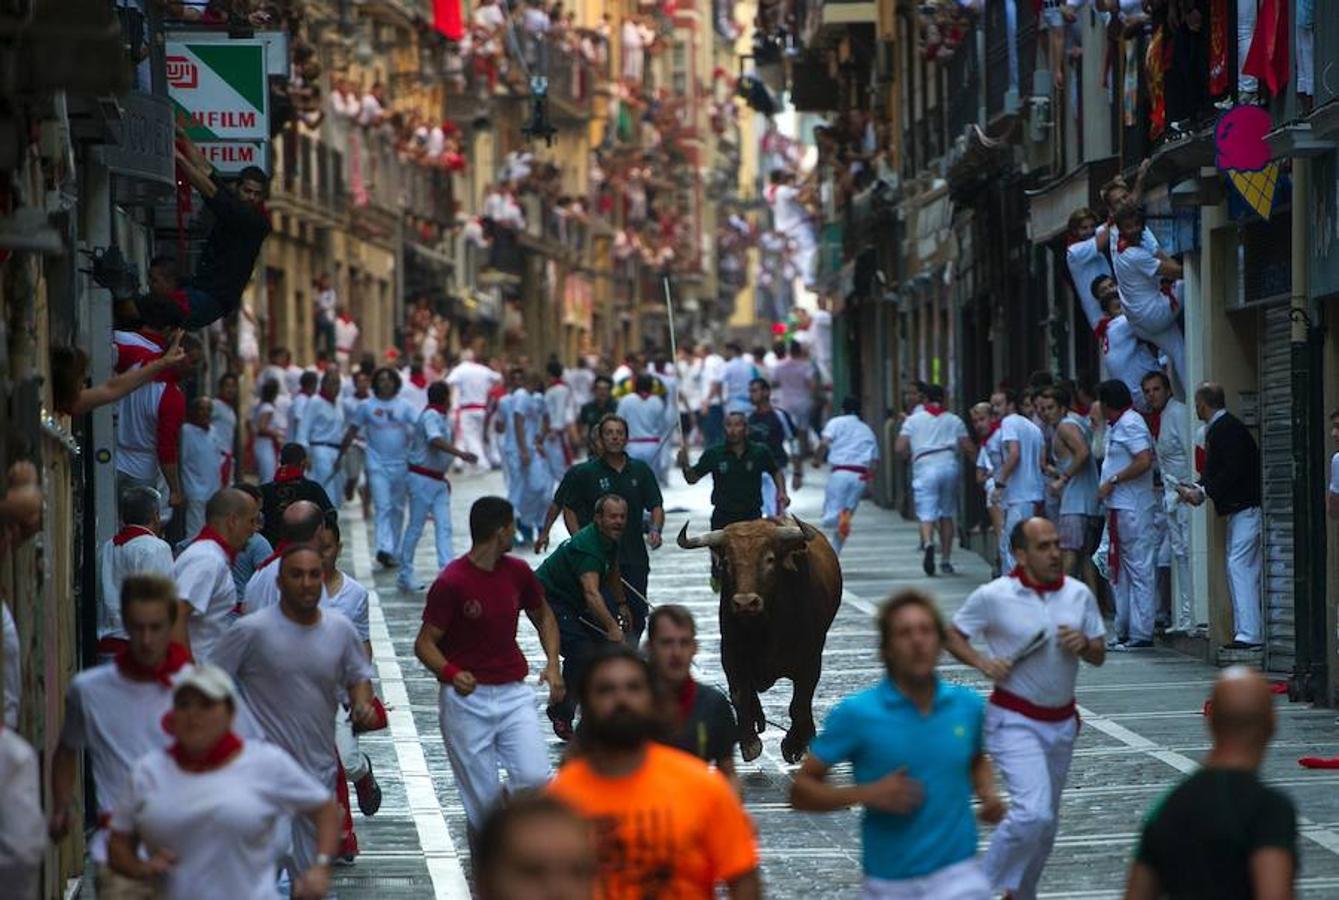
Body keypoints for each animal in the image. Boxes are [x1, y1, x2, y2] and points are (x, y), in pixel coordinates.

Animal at [674, 516, 840, 760]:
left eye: (769, 559)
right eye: (726, 562)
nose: (745, 602)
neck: (764, 628)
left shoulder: (810, 661)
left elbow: (799, 703)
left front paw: (794, 744)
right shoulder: (731, 654)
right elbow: (740, 695)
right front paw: (749, 743)